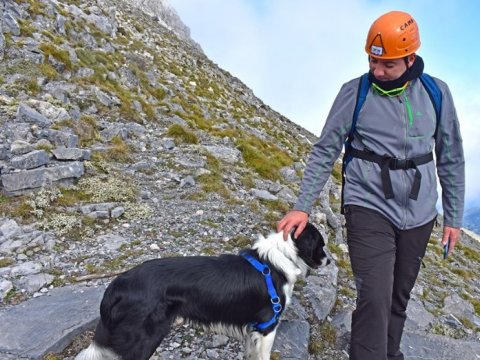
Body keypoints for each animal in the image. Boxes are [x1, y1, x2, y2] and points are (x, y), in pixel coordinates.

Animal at [75, 222, 330, 360]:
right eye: (321, 245)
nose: (329, 261)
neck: (278, 260)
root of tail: (117, 284)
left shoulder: (255, 329)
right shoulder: (268, 325)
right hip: (145, 337)